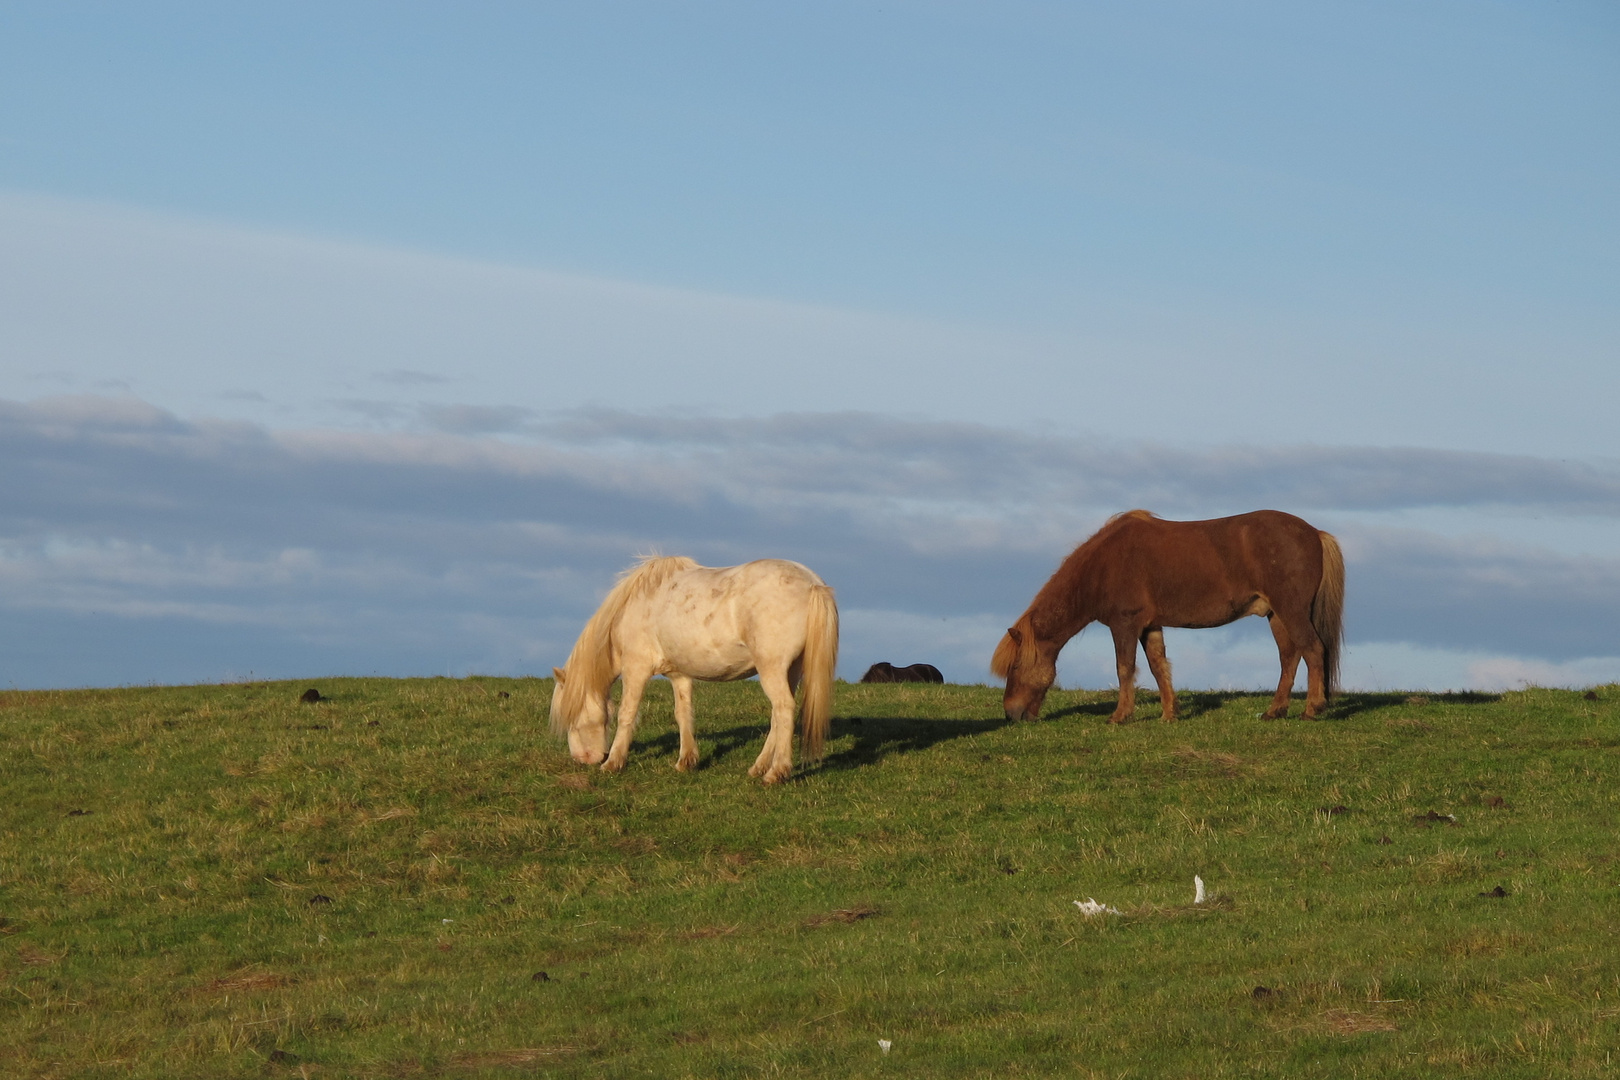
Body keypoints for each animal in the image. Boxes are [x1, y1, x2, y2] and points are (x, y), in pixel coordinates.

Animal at [550, 557, 842, 786]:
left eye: (571, 717)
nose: (582, 759)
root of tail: (812, 583)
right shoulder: (679, 674)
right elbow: (683, 714)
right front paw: (686, 761)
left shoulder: (636, 667)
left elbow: (627, 713)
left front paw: (613, 763)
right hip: (791, 671)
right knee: (777, 718)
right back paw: (759, 768)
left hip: (772, 668)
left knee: (783, 710)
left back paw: (776, 772)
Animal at [991, 514, 1347, 725]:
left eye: (1016, 666)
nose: (1011, 714)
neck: (1104, 565)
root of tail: (1315, 533)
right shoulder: (1150, 626)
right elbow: (1158, 667)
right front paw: (1169, 714)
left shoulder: (1125, 625)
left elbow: (1125, 669)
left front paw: (1120, 716)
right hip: (1276, 615)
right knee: (1290, 658)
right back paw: (1275, 711)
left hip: (1291, 611)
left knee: (1312, 650)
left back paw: (1312, 709)